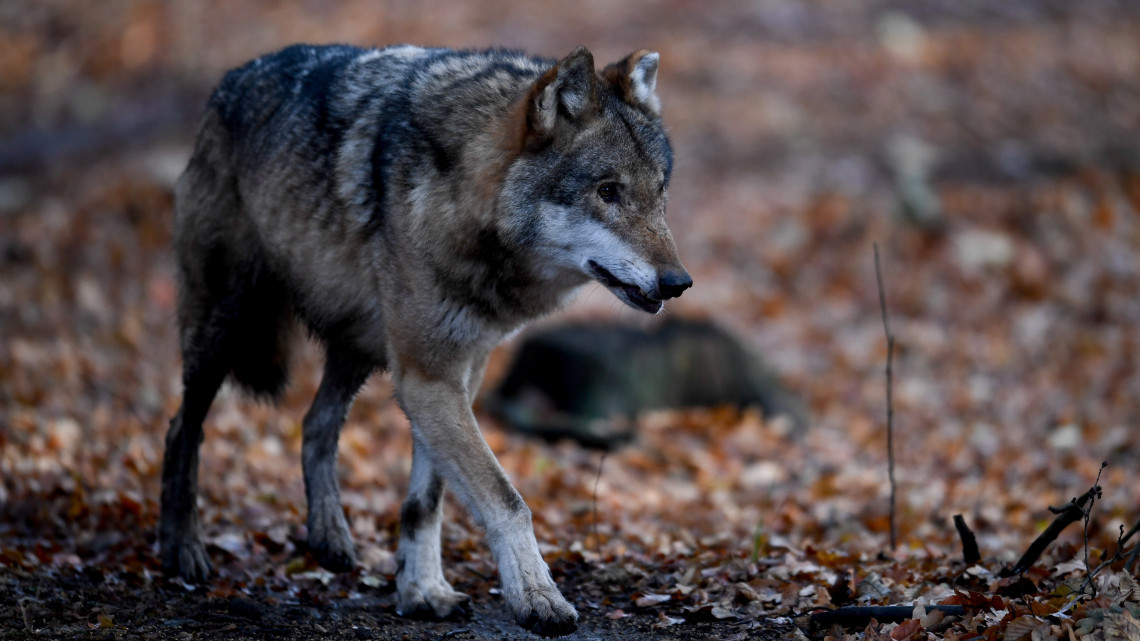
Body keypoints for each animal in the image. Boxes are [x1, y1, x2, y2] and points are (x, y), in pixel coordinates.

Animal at [158, 43, 693, 634]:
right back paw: (183, 551)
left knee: (315, 422)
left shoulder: (459, 373)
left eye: (660, 193)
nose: (678, 283)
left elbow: (427, 501)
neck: (462, 197)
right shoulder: (428, 376)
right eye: (608, 192)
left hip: (359, 349)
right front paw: (537, 597)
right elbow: (507, 500)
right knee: (183, 429)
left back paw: (330, 537)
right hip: (224, 329)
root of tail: (230, 80)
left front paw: (422, 591)